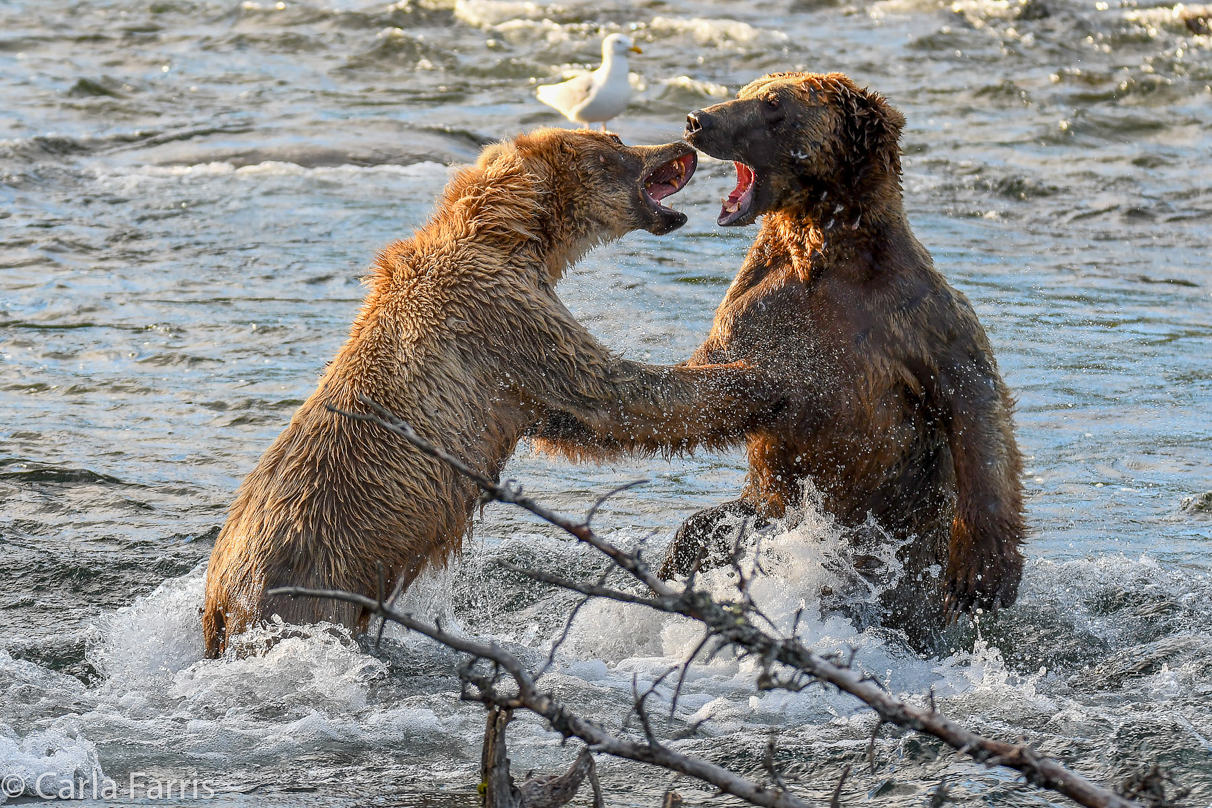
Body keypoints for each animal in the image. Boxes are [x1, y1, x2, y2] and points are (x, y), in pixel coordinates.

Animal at [201, 127, 775, 658]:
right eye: (614, 143)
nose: (681, 145)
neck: (514, 231)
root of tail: (217, 604)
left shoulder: (515, 376)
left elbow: (571, 420)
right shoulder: (502, 316)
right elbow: (610, 390)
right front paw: (754, 379)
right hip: (310, 588)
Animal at [540, 72, 1022, 649]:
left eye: (774, 104)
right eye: (749, 88)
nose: (698, 120)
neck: (821, 254)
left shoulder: (915, 316)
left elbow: (975, 399)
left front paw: (981, 575)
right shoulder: (756, 309)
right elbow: (695, 391)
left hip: (892, 537)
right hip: (769, 509)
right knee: (707, 530)